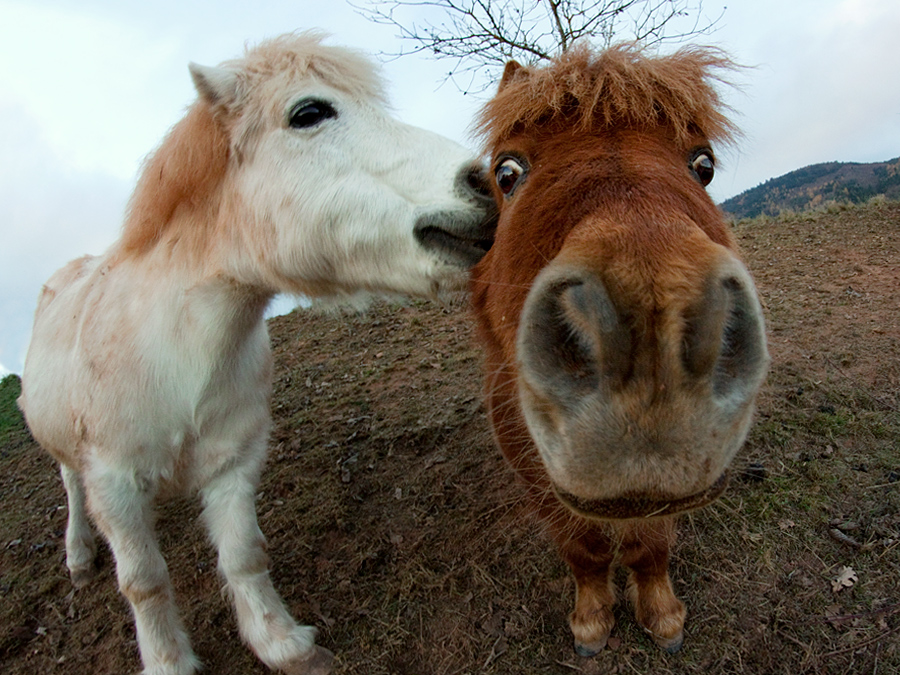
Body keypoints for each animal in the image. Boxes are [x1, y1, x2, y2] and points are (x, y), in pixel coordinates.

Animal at [15, 33, 492, 675]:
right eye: (309, 113)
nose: (489, 179)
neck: (177, 359)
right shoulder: (114, 481)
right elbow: (144, 580)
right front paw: (168, 660)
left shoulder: (233, 461)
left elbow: (244, 553)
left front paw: (282, 643)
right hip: (66, 449)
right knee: (71, 487)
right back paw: (78, 554)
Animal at [472, 46, 768, 656]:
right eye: (507, 172)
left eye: (703, 165)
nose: (648, 342)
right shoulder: (528, 460)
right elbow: (583, 548)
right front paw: (591, 622)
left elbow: (648, 546)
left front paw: (662, 616)